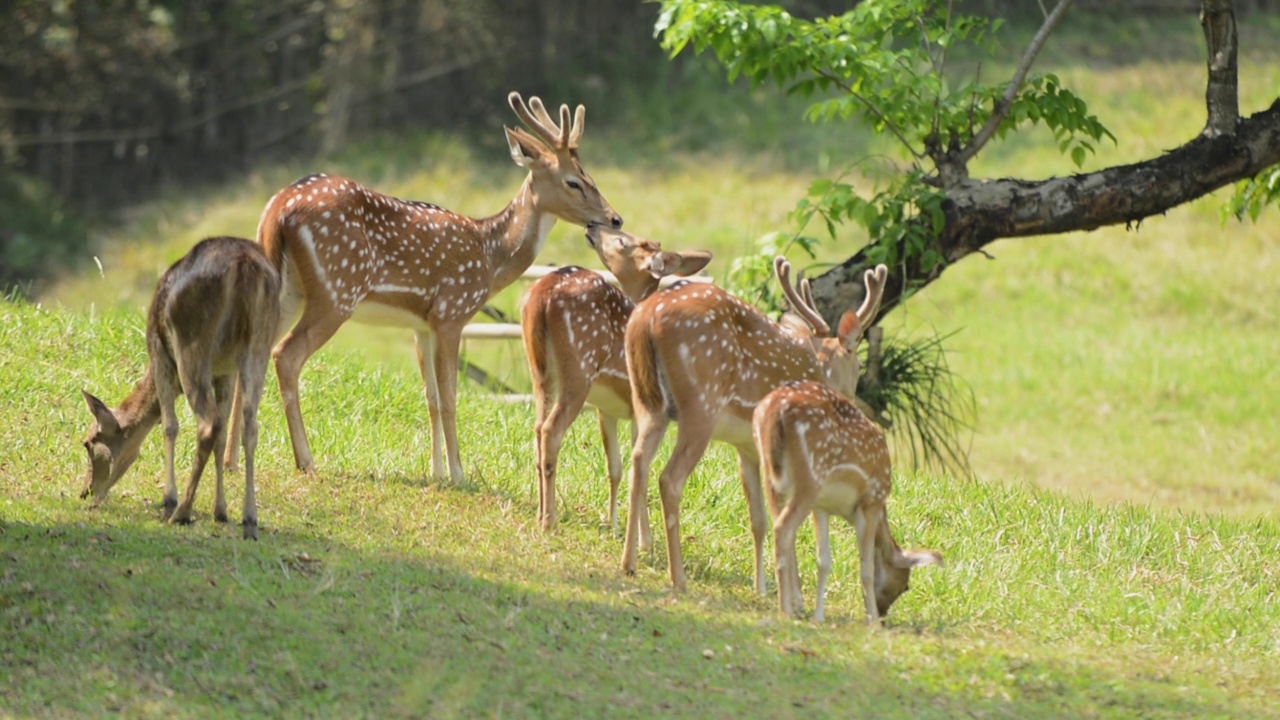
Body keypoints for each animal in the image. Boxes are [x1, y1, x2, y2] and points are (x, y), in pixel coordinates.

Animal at [78, 235, 280, 538]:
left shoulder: (159, 353)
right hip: (259, 346)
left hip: (191, 342)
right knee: (248, 426)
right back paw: (249, 519)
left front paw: (168, 499)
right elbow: (223, 437)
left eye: (89, 442)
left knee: (207, 425)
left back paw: (181, 511)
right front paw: (220, 511)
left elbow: (170, 426)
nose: (86, 492)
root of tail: (244, 268)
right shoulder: (225, 373)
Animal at [236, 92, 629, 479]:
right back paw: (305, 460)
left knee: (254, 352)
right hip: (336, 290)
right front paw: (458, 473)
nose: (614, 218)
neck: (490, 257)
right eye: (573, 181)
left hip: (288, 290)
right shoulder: (451, 312)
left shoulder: (421, 324)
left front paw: (437, 471)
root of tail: (278, 210)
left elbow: (431, 399)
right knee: (286, 355)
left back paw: (233, 460)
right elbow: (450, 397)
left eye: (589, 175)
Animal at [522, 226, 721, 530]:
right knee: (550, 431)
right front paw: (639, 534)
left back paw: (540, 514)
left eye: (622, 241)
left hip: (540, 369)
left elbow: (614, 467)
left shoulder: (608, 409)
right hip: (579, 369)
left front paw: (614, 525)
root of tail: (542, 292)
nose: (593, 226)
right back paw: (549, 521)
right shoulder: (641, 407)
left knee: (537, 429)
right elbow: (638, 468)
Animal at [622, 254, 890, 591]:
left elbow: (759, 519)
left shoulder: (747, 447)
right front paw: (789, 590)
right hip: (701, 403)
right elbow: (783, 517)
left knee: (638, 460)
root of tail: (646, 317)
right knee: (670, 478)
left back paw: (629, 563)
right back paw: (678, 578)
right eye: (857, 359)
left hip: (646, 400)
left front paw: (761, 587)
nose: (852, 395)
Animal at [747, 379, 942, 620]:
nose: (883, 614)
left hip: (772, 474)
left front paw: (819, 617)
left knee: (776, 525)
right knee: (783, 528)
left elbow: (824, 560)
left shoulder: (822, 507)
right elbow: (866, 569)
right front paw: (871, 621)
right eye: (906, 585)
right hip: (810, 477)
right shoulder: (870, 503)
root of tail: (775, 410)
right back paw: (786, 611)